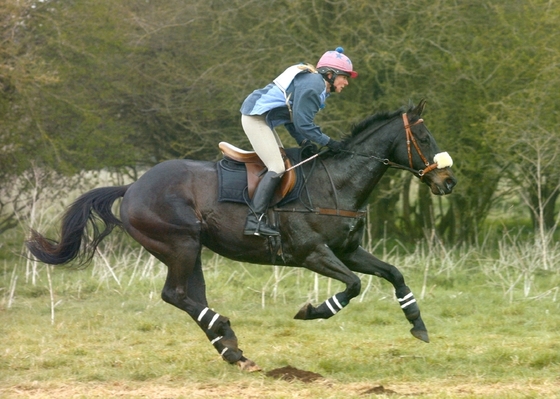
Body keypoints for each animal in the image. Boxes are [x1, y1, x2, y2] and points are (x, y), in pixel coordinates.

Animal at [25, 99, 456, 372]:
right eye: (426, 139)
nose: (448, 182)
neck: (338, 181)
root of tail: (131, 188)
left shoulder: (348, 250)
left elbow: (394, 273)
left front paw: (418, 324)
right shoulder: (312, 253)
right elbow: (352, 287)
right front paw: (312, 311)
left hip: (191, 249)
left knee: (192, 297)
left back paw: (232, 350)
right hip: (180, 244)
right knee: (176, 295)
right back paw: (227, 335)